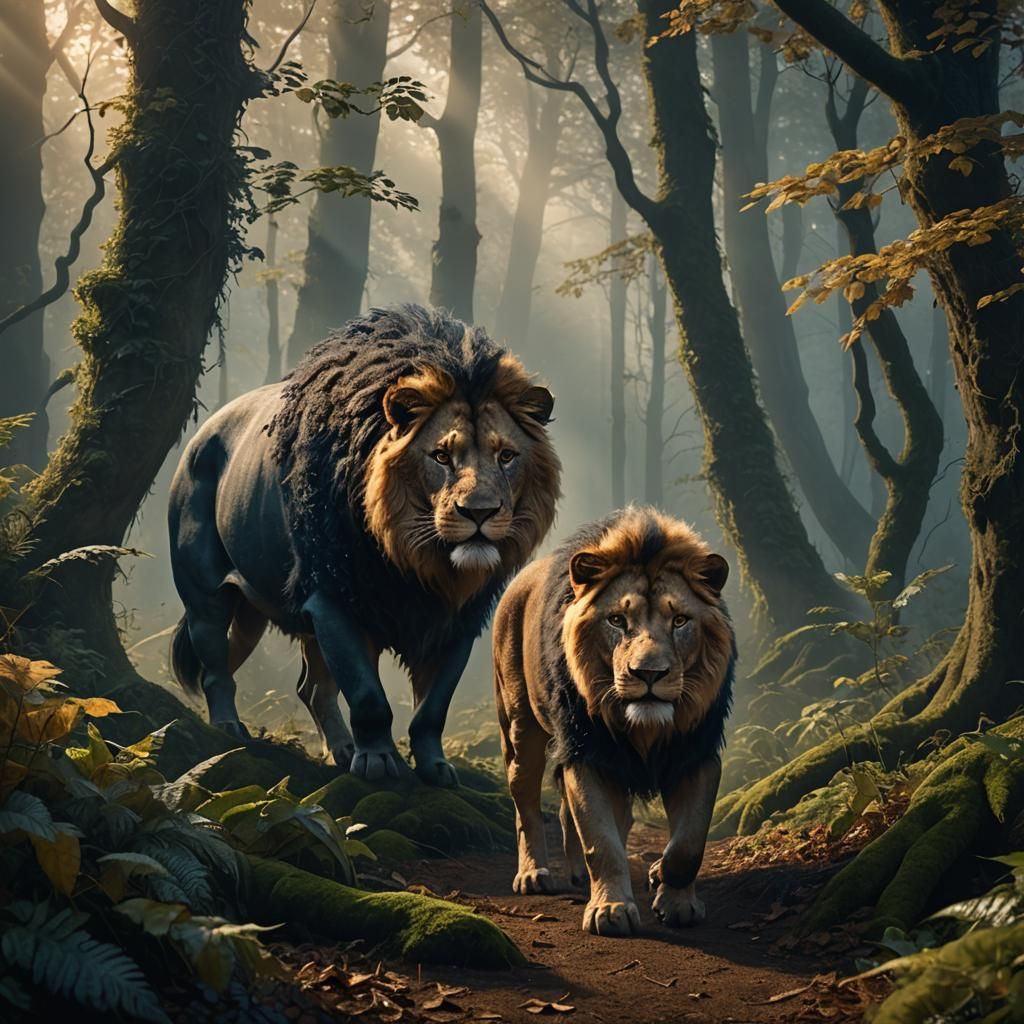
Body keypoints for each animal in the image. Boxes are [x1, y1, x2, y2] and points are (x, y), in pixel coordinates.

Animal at [168, 304, 560, 785]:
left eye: (506, 456)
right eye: (441, 456)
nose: (480, 513)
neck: (420, 560)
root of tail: (200, 433)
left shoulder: (457, 621)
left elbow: (432, 709)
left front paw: (434, 768)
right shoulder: (334, 600)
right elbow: (369, 696)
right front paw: (377, 761)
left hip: (256, 609)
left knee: (306, 686)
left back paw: (340, 749)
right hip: (206, 591)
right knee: (215, 666)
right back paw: (229, 727)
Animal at [493, 506, 734, 936]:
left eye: (680, 621)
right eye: (618, 620)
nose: (648, 673)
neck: (646, 728)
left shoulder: (696, 753)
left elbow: (689, 843)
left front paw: (672, 895)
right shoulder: (589, 754)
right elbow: (601, 842)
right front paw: (611, 910)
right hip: (519, 728)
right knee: (527, 807)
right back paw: (534, 874)